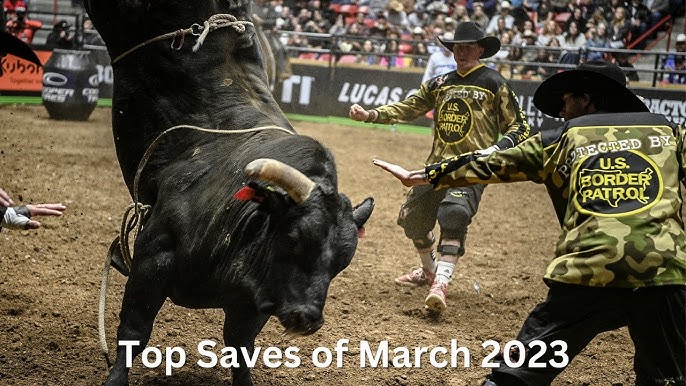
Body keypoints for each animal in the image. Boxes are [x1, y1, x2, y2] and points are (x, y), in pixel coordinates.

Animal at [85, 1, 376, 384]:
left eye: (342, 262)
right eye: (294, 238)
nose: (307, 318)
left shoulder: (255, 300)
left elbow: (240, 346)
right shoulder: (153, 258)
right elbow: (134, 330)